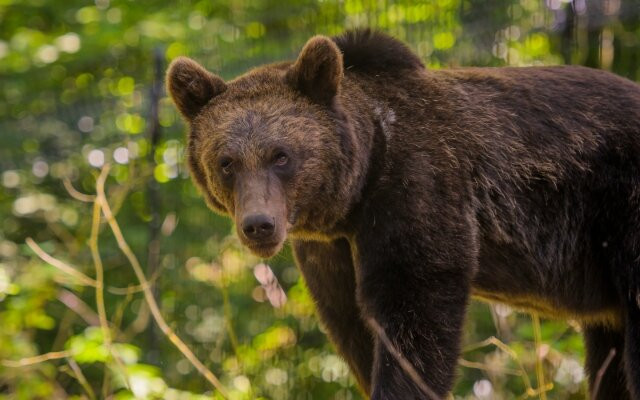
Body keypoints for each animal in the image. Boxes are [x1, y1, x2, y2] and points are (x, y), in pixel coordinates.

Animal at [166, 29, 640, 398]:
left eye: (281, 156)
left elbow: (414, 311)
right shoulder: (330, 250)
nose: (259, 225)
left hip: (619, 208)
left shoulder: (417, 187)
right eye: (227, 162)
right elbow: (351, 323)